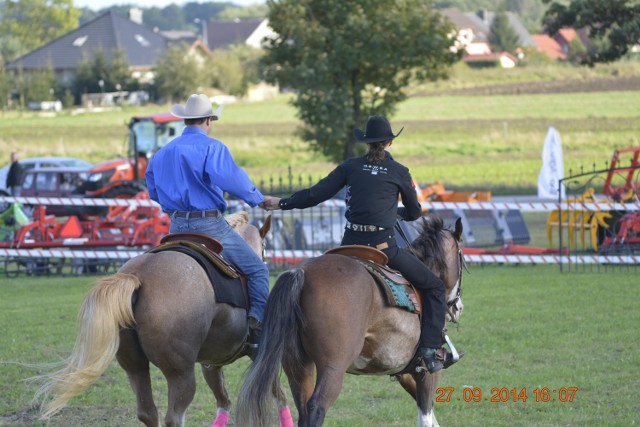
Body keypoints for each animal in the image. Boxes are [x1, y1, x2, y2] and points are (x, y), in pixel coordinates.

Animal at [34, 211, 292, 427]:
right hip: (180, 373)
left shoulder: (211, 363)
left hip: (135, 367)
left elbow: (224, 402)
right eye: (265, 250)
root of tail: (138, 276)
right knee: (173, 417)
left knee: (147, 412)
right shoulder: (259, 354)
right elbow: (280, 396)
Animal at [235, 217, 464, 427]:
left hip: (298, 365)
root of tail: (302, 272)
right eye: (461, 261)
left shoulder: (404, 370)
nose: (458, 307)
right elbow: (425, 413)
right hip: (332, 369)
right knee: (316, 407)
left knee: (303, 409)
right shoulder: (427, 370)